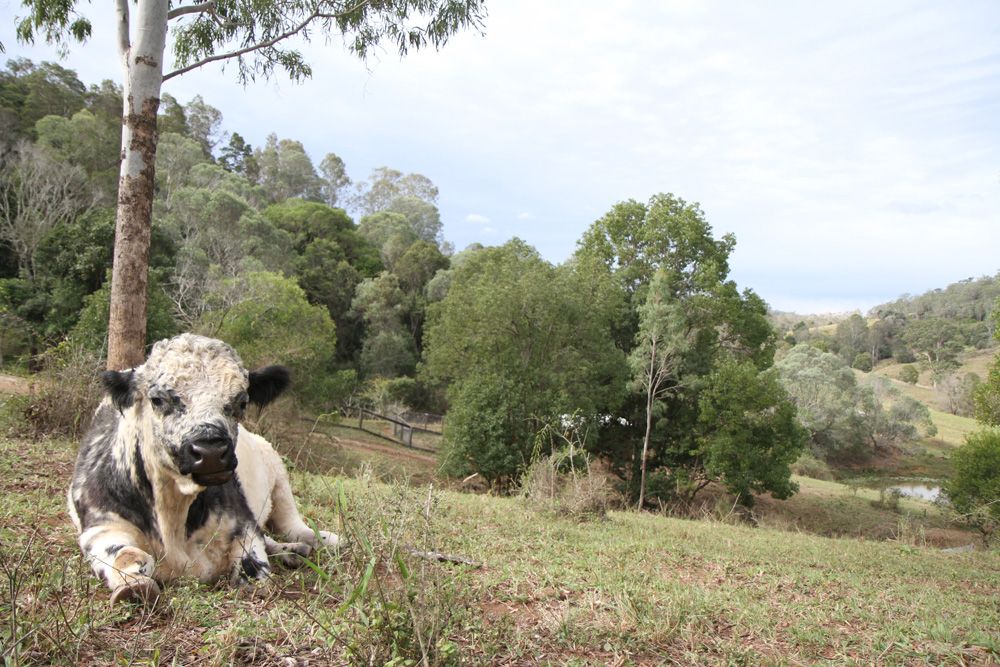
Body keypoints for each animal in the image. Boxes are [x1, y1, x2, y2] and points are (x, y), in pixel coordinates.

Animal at [67, 332, 340, 604]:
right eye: (157, 400)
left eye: (242, 402)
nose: (210, 453)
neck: (173, 511)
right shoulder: (100, 526)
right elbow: (127, 556)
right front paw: (134, 586)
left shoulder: (243, 521)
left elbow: (253, 564)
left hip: (279, 477)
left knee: (290, 524)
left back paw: (317, 541)